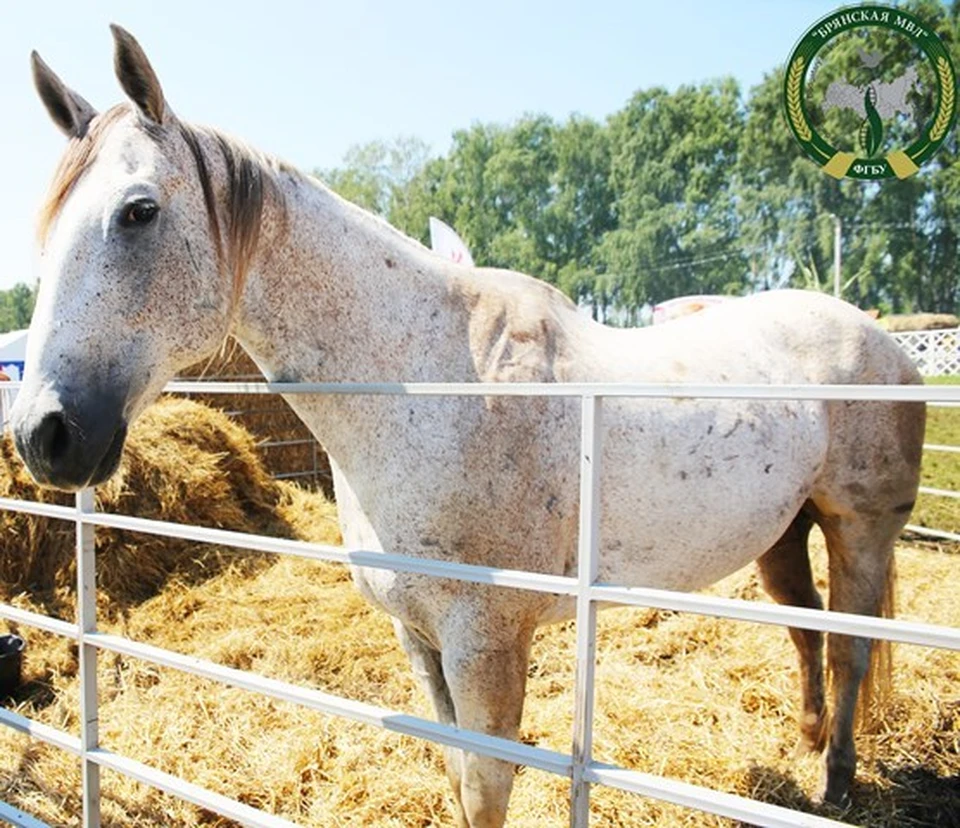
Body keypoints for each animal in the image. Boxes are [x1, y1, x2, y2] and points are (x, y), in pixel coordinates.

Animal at [13, 29, 924, 824]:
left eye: (138, 212)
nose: (41, 436)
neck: (432, 385)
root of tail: (883, 338)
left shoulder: (486, 644)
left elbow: (486, 788)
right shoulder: (419, 636)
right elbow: (456, 775)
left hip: (860, 527)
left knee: (851, 648)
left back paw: (837, 780)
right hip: (783, 529)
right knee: (805, 624)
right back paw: (807, 743)